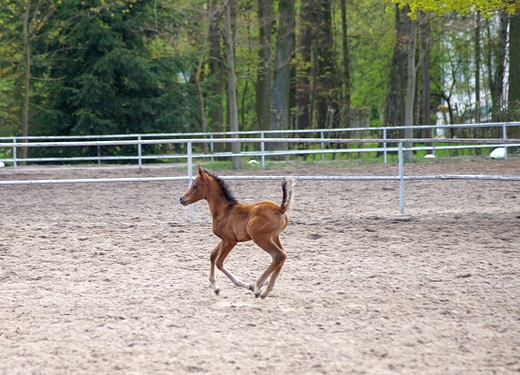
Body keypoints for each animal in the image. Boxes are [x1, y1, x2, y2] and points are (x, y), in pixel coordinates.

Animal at [179, 167, 292, 300]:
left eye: (195, 186)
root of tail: (280, 209)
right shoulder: (224, 239)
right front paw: (215, 288)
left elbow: (219, 262)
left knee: (278, 255)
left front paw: (248, 286)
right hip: (274, 237)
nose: (181, 199)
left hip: (260, 238)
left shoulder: (230, 241)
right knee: (283, 256)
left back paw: (258, 287)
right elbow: (212, 255)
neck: (224, 211)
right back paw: (265, 291)